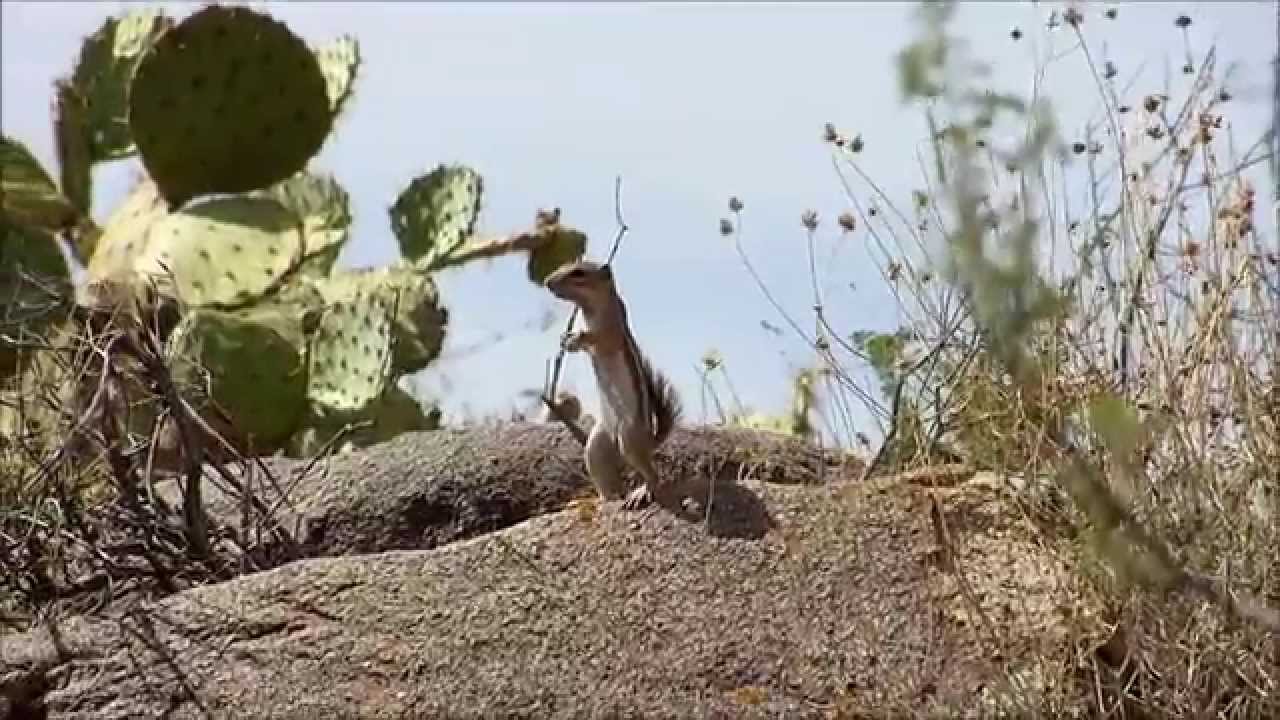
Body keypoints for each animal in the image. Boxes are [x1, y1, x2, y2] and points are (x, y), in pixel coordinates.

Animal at [544, 260, 682, 510]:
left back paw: (642, 492)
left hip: (629, 437)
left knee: (653, 475)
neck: (589, 307)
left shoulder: (611, 330)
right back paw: (597, 500)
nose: (548, 282)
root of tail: (650, 441)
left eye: (578, 273)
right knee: (607, 480)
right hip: (597, 444)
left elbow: (598, 338)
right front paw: (566, 339)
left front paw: (578, 337)